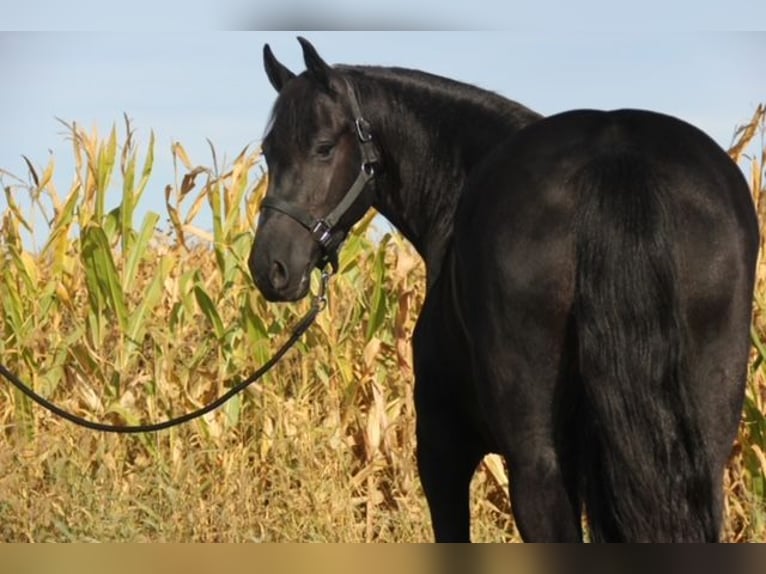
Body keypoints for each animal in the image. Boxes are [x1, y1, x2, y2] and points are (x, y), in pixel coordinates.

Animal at [250, 37, 760, 544]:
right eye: (268, 151)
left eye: (323, 148)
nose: (269, 266)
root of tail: (615, 160)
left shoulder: (443, 445)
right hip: (700, 455)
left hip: (534, 463)